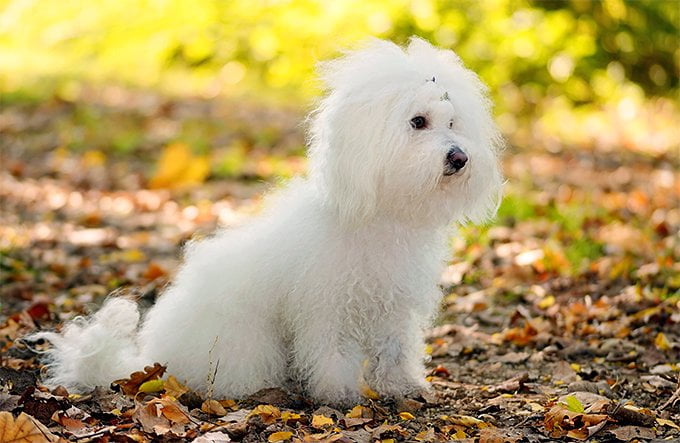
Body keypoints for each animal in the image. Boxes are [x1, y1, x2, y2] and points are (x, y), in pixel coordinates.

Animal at [37, 37, 504, 406]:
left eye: (452, 122)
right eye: (418, 122)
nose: (459, 157)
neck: (378, 214)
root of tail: (150, 360)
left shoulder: (393, 308)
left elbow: (396, 352)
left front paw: (403, 387)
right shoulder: (326, 308)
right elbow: (332, 355)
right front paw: (339, 395)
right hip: (244, 341)